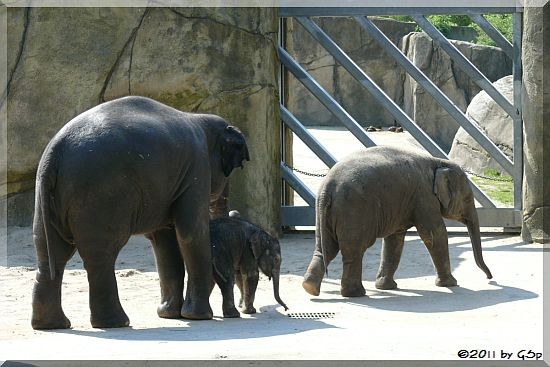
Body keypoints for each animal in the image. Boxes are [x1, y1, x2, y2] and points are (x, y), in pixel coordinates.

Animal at [31, 95, 251, 330]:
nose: (233, 213)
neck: (200, 119)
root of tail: (54, 152)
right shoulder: (197, 168)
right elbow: (191, 232)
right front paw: (199, 317)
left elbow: (164, 239)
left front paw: (169, 315)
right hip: (100, 196)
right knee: (101, 254)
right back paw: (117, 322)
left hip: (50, 198)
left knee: (51, 253)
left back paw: (53, 325)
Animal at [304, 145, 494, 298]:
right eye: (468, 199)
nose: (490, 278)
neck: (438, 161)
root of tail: (327, 188)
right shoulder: (424, 196)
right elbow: (434, 234)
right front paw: (450, 284)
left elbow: (394, 240)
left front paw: (386, 287)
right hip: (353, 211)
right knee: (354, 250)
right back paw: (356, 294)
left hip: (328, 214)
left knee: (325, 248)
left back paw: (310, 288)